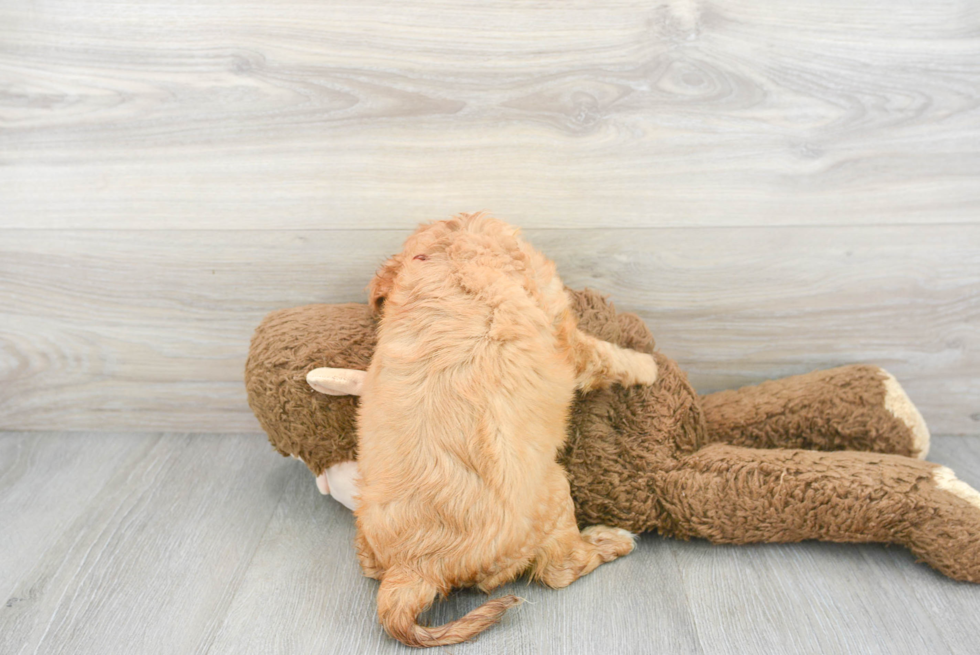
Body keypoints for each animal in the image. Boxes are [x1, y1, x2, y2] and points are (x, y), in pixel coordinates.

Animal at [354, 213, 660, 648]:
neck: (448, 257)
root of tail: (414, 566)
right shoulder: (561, 326)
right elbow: (606, 355)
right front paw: (647, 366)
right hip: (554, 492)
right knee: (561, 568)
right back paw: (610, 539)